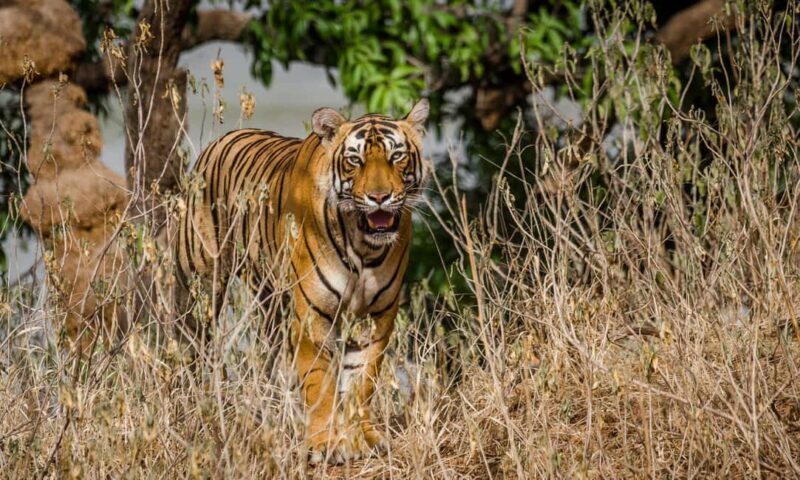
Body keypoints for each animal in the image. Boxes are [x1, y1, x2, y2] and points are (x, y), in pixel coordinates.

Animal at [174, 99, 430, 463]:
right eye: (355, 160)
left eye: (397, 156)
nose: (379, 197)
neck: (364, 248)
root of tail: (223, 138)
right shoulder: (313, 315)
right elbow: (320, 382)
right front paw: (324, 444)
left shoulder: (376, 316)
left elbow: (361, 380)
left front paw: (362, 437)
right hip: (202, 285)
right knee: (191, 344)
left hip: (271, 301)